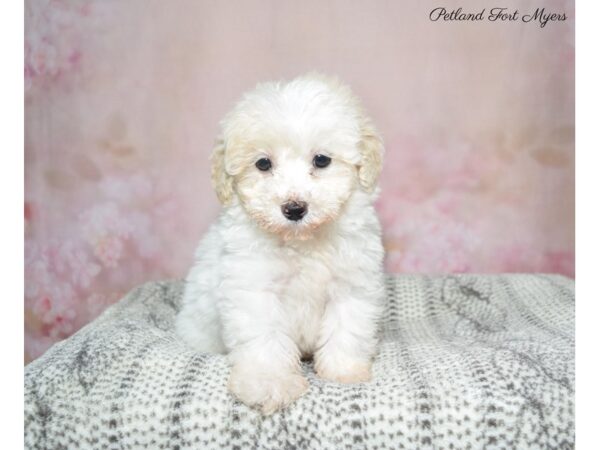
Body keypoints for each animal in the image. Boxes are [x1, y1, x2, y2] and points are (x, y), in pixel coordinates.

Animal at [177, 74, 384, 414]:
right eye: (263, 164)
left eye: (321, 160)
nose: (294, 208)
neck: (302, 241)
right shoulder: (253, 290)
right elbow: (265, 340)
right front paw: (269, 383)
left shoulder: (352, 284)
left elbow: (347, 328)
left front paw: (343, 370)